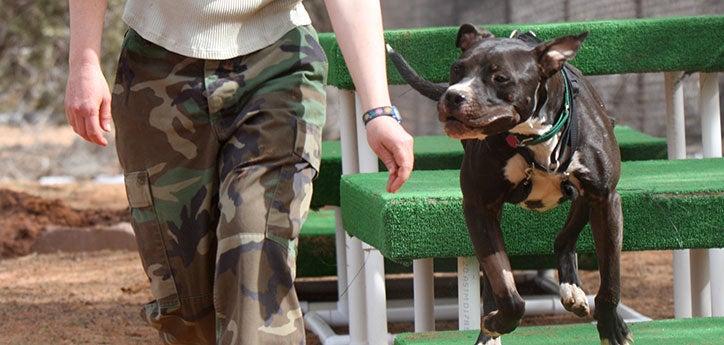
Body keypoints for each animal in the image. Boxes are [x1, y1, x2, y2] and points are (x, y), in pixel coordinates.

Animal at [388, 24, 632, 344]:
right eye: (456, 69)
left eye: (500, 78)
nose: (453, 96)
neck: (533, 138)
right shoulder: (479, 207)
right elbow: (506, 290)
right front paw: (496, 323)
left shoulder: (605, 198)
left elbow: (611, 279)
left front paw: (612, 329)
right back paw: (489, 331)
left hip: (584, 200)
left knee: (563, 239)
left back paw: (571, 289)